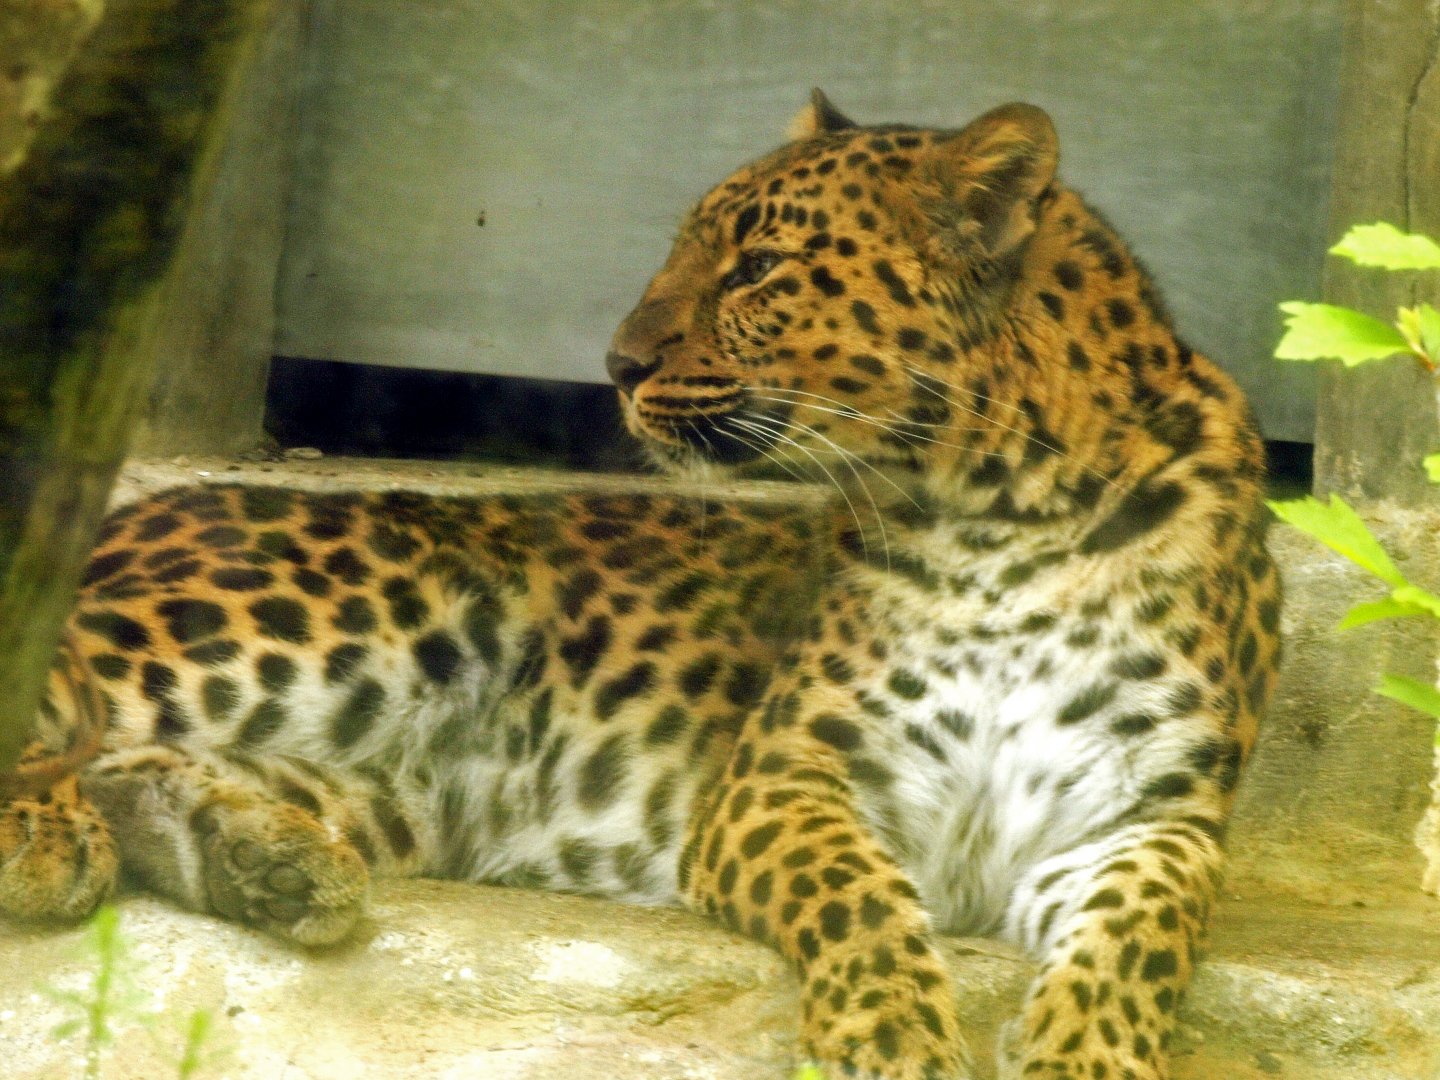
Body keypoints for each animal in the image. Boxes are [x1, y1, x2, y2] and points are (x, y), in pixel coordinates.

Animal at [0, 92, 1280, 1080]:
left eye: (759, 270)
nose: (615, 365)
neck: (1006, 507)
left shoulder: (1149, 815)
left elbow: (1138, 940)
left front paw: (1086, 1057)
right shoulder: (785, 777)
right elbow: (860, 902)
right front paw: (890, 1042)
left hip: (371, 778)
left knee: (126, 758)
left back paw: (267, 861)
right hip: (341, 612)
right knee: (56, 694)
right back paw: (49, 839)